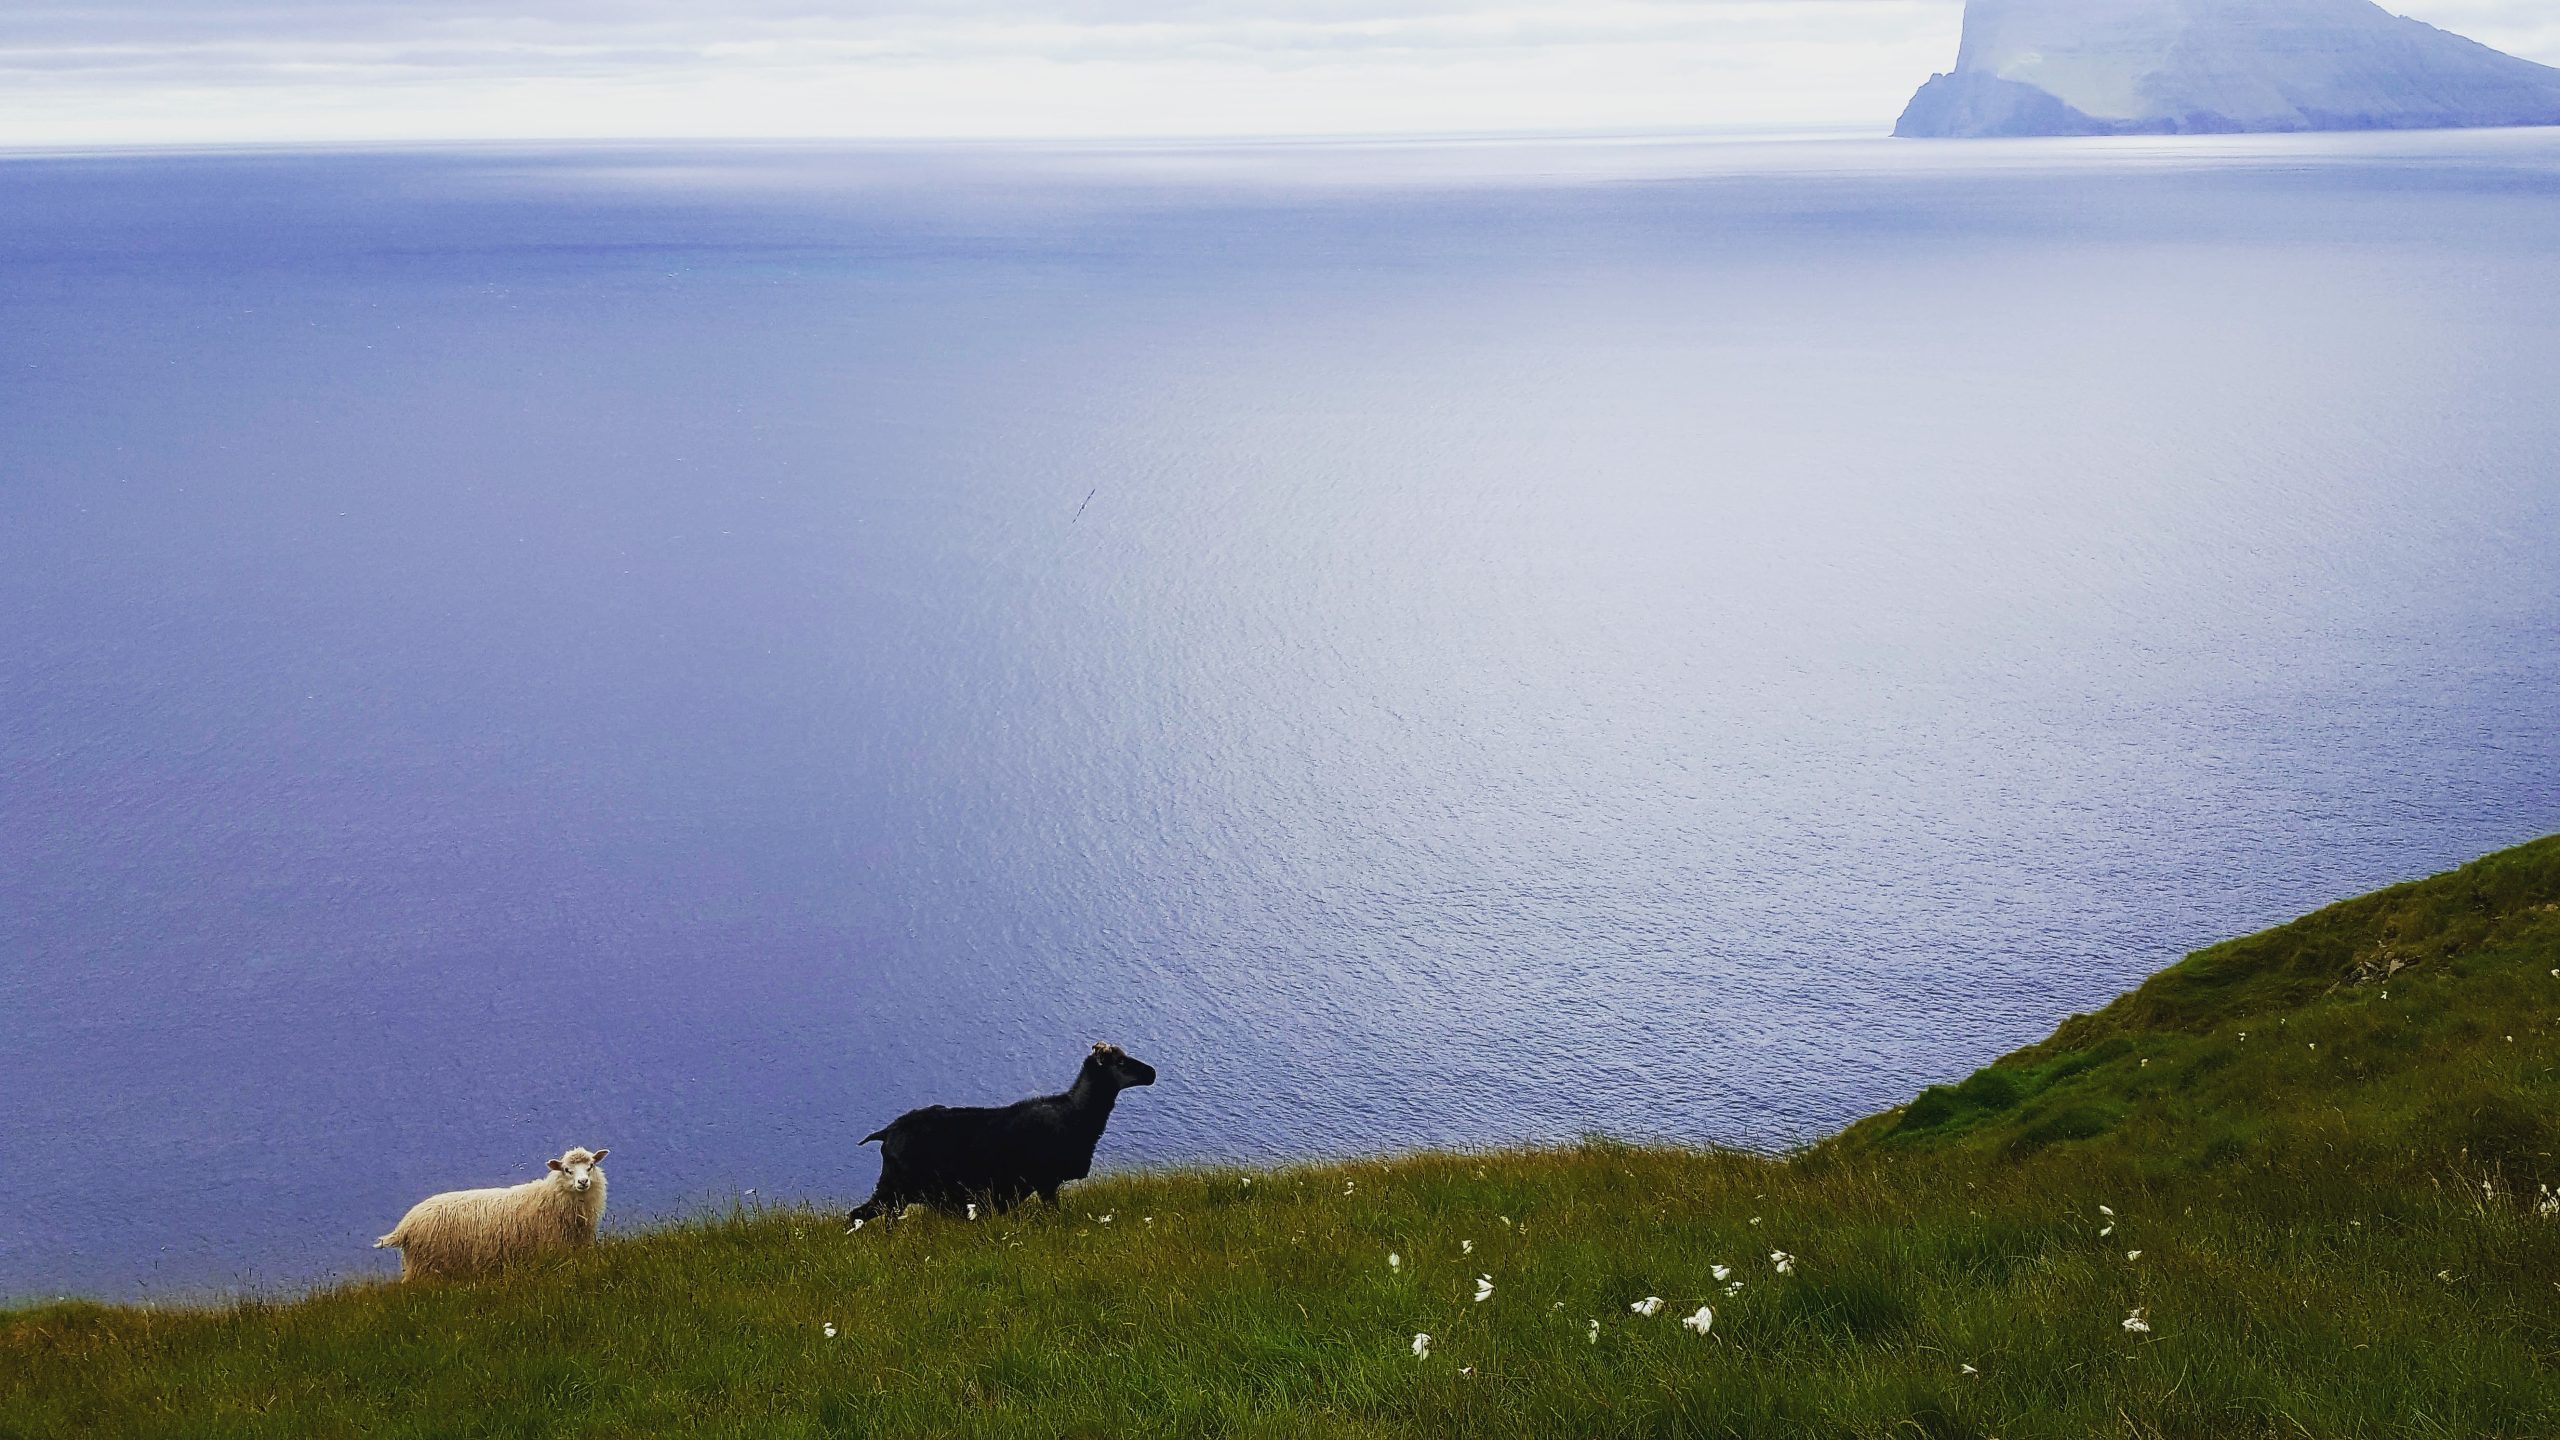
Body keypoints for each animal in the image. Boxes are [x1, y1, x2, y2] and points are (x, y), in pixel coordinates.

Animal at [844, 1030, 1157, 1219]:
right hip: (896, 1189)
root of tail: (886, 1133)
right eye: (1120, 1062)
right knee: (862, 1215)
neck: (1075, 1113)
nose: (1152, 1073)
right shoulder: (1045, 1183)